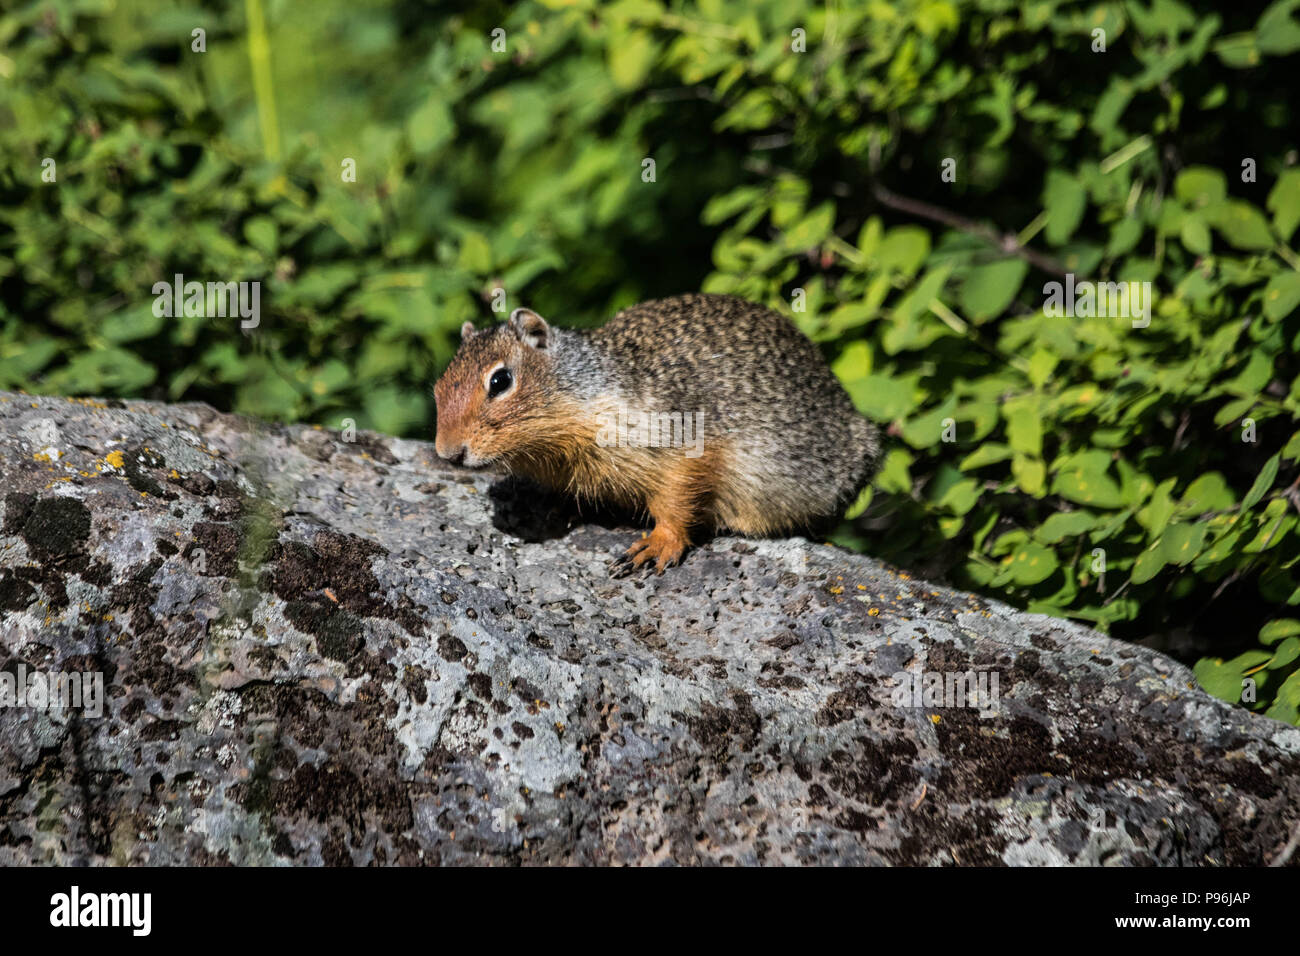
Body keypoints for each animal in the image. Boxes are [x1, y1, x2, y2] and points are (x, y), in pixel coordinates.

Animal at [431, 291, 878, 572]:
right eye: (438, 386)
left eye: (500, 381)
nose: (448, 453)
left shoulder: (684, 441)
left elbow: (677, 499)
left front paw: (658, 544)